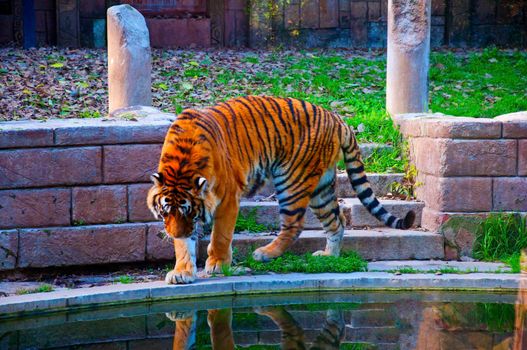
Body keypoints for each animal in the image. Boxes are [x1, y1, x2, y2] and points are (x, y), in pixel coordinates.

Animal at [146, 95, 414, 284]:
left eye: (188, 211)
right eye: (165, 212)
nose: (173, 232)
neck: (181, 166)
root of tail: (337, 119)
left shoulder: (227, 199)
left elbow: (221, 236)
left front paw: (218, 265)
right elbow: (184, 245)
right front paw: (181, 271)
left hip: (292, 179)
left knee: (295, 225)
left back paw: (264, 253)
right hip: (321, 188)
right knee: (337, 220)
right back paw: (329, 256)